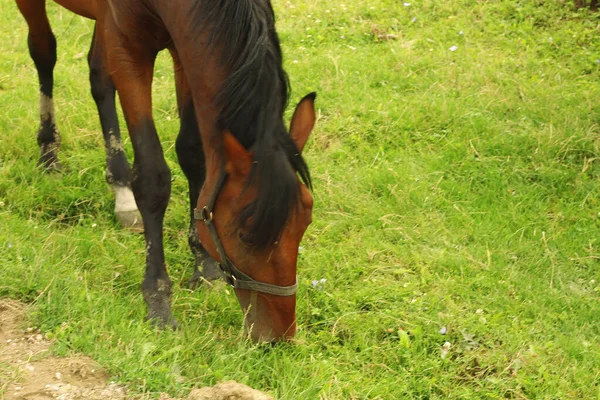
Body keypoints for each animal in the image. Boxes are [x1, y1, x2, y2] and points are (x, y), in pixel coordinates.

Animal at [16, 0, 316, 344]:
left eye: (305, 222)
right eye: (244, 236)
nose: (278, 335)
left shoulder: (183, 44)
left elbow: (193, 153)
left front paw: (204, 266)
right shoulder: (129, 49)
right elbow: (152, 177)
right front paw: (158, 301)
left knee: (99, 76)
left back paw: (120, 188)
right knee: (44, 51)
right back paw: (49, 152)